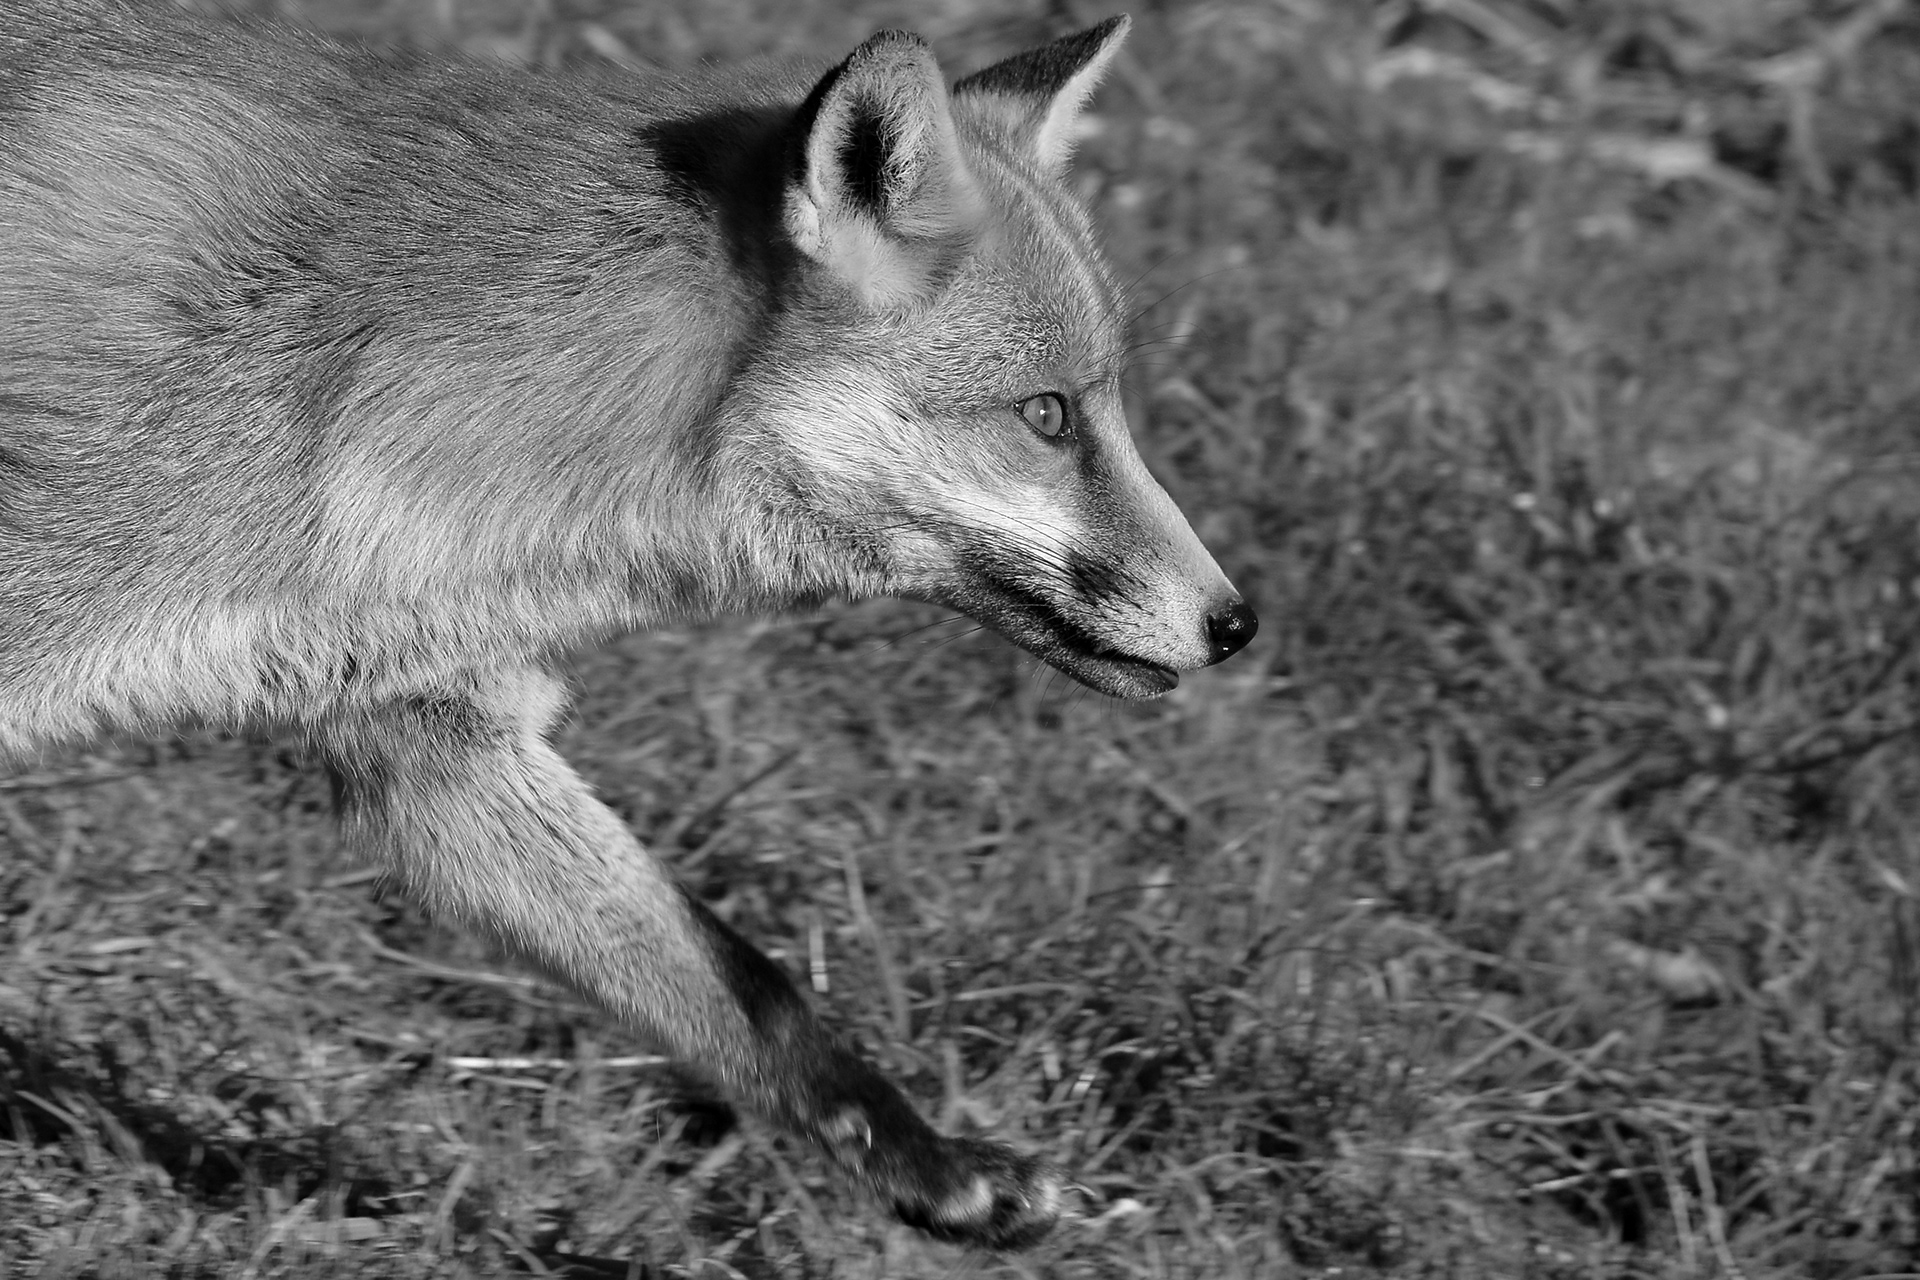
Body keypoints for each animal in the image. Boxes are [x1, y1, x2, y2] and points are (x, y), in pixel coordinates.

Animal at [0, 0, 1256, 1252]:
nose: (1237, 622)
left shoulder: (434, 736)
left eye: (1100, 405)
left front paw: (934, 1166)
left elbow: (744, 986)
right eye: (1045, 414)